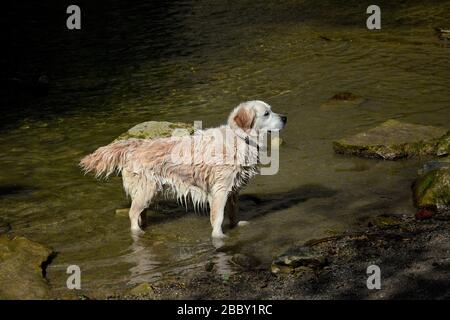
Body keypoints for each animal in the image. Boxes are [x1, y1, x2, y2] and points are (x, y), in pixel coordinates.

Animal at [79, 100, 286, 238]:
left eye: (271, 110)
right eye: (266, 113)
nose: (285, 117)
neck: (241, 139)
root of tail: (135, 144)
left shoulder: (233, 189)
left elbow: (233, 212)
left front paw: (236, 226)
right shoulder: (220, 190)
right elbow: (218, 217)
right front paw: (219, 237)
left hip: (149, 191)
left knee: (141, 212)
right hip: (147, 188)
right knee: (132, 213)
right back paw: (137, 231)